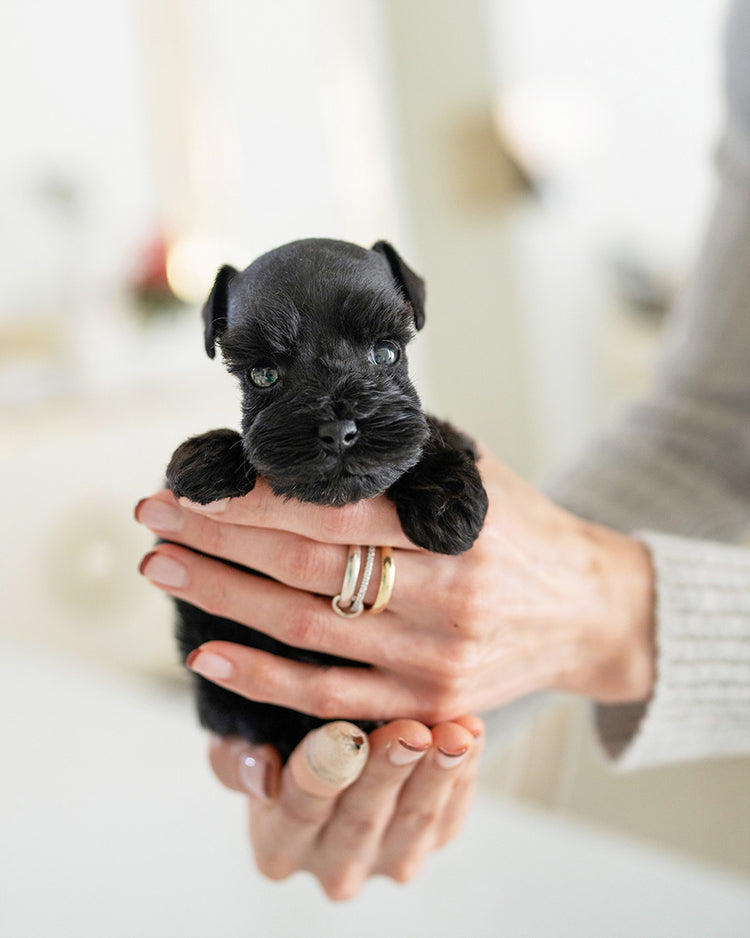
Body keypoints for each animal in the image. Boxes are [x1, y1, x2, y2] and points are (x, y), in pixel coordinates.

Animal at [167, 239, 490, 760]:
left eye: (385, 352)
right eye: (263, 374)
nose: (339, 430)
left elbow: (433, 432)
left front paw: (448, 504)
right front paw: (207, 459)